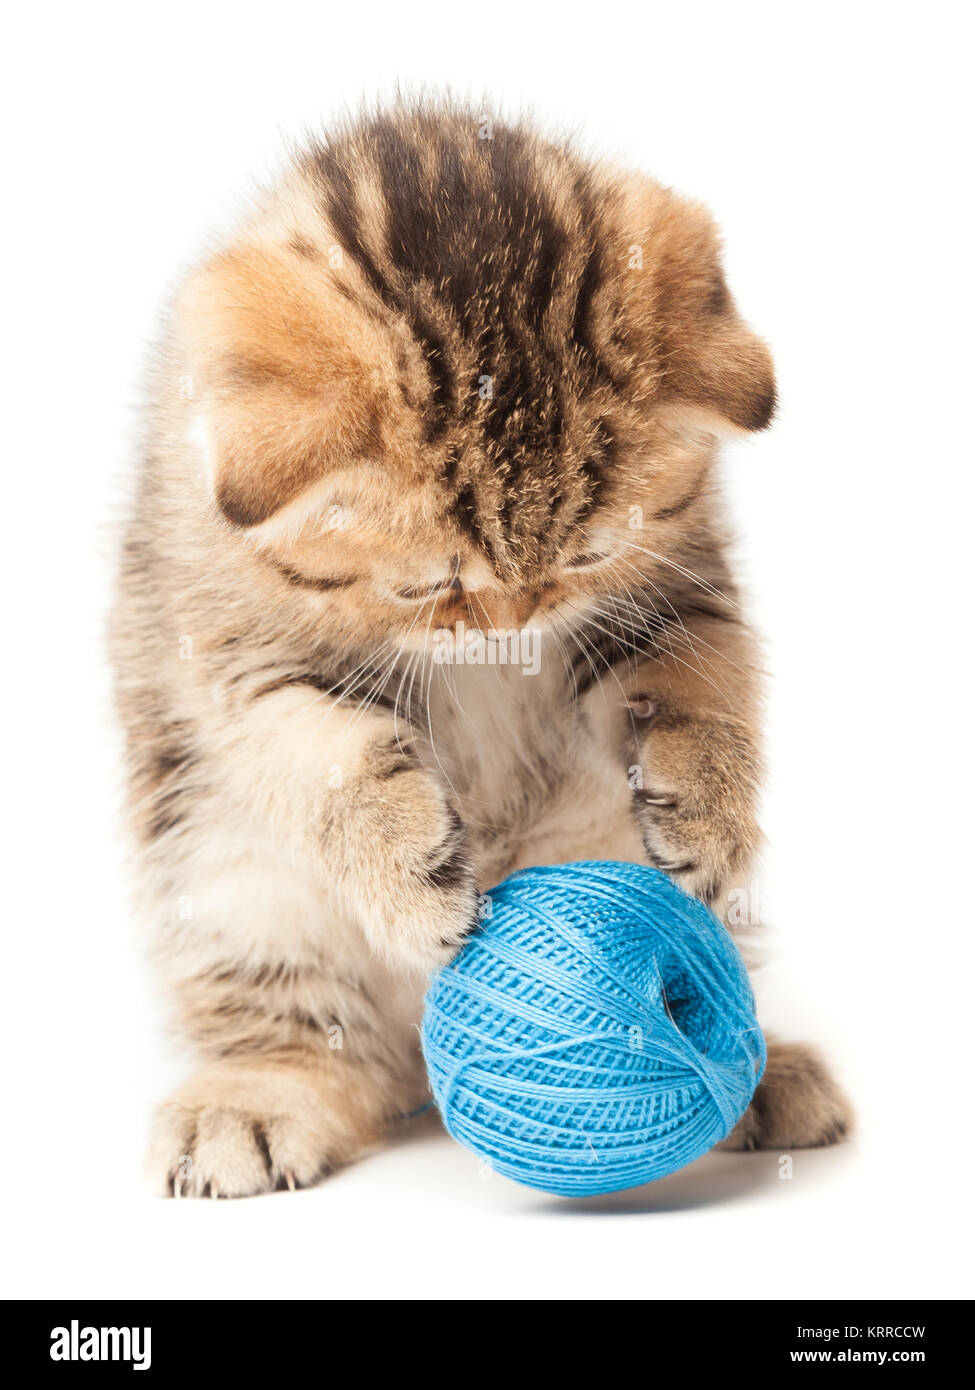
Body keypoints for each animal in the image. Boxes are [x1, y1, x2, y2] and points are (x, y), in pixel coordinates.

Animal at [110, 102, 845, 1200]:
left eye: (586, 557)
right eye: (427, 586)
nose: (514, 621)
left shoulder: (676, 590)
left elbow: (704, 677)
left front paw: (709, 801)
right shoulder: (226, 659)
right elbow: (319, 754)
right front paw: (407, 864)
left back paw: (759, 1082)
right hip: (220, 868)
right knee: (315, 1036)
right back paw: (256, 1097)